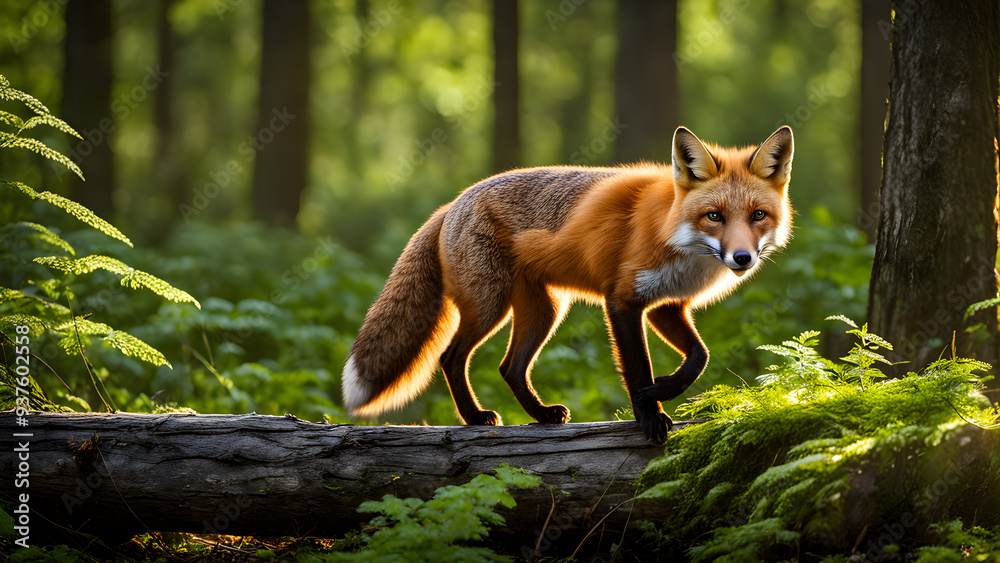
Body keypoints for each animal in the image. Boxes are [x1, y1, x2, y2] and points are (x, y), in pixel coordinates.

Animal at [342, 126, 793, 443]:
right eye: (714, 216)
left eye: (758, 215)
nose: (742, 258)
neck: (676, 238)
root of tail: (452, 203)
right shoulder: (622, 301)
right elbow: (637, 366)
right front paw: (648, 413)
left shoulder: (666, 306)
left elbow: (699, 357)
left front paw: (663, 389)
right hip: (490, 305)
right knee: (450, 357)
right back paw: (474, 418)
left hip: (545, 311)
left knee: (509, 367)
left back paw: (540, 415)